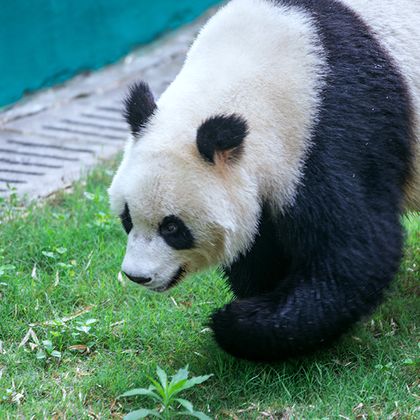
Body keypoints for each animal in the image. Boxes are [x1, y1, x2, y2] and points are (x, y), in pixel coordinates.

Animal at [109, 0, 420, 360]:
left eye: (172, 228)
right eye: (127, 218)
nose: (137, 276)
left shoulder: (338, 125)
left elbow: (356, 252)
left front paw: (236, 322)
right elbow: (259, 244)